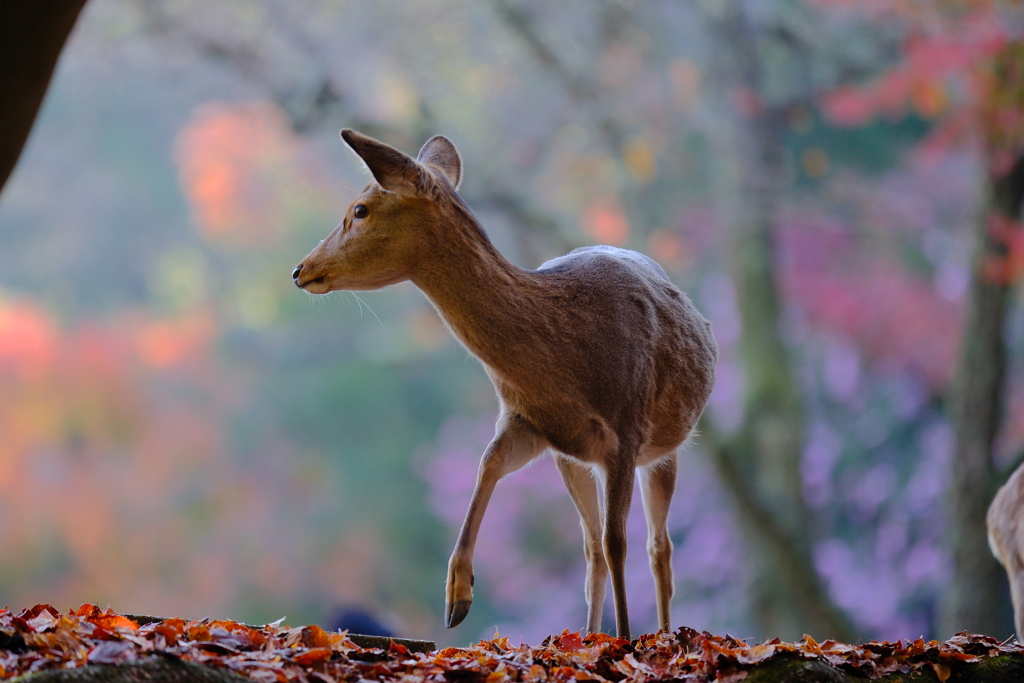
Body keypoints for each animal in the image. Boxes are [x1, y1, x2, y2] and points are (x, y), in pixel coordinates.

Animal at [292, 129, 716, 643]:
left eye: (360, 209)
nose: (300, 269)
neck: (567, 366)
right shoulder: (530, 421)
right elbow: (489, 463)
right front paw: (457, 595)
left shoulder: (627, 426)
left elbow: (620, 541)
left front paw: (626, 640)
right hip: (574, 459)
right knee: (592, 545)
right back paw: (590, 634)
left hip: (665, 447)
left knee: (657, 547)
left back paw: (662, 635)